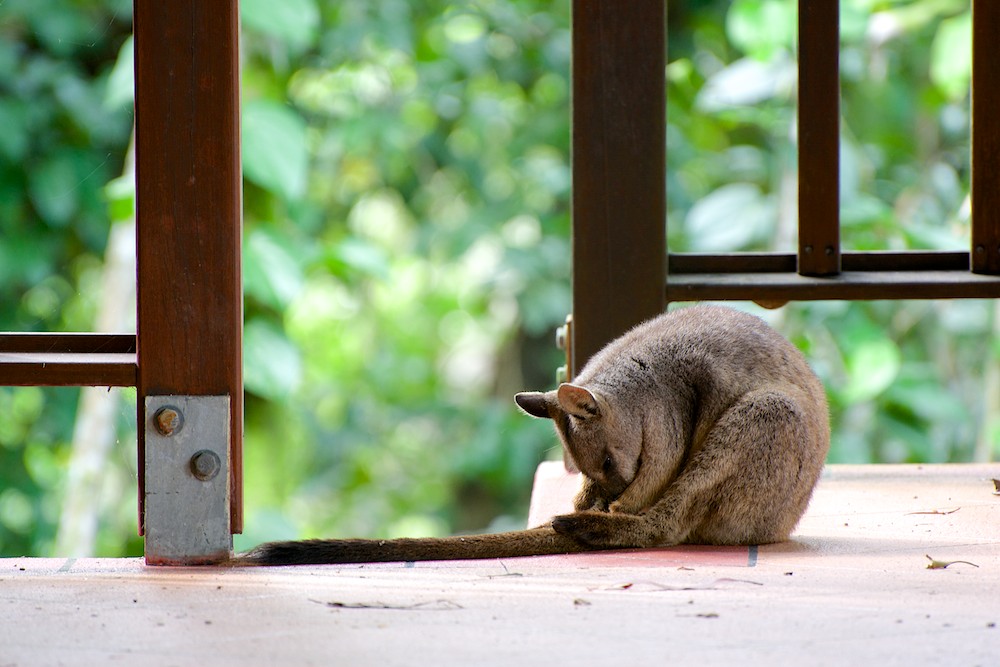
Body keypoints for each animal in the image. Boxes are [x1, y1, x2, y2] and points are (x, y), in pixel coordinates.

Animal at [234, 305, 829, 565]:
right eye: (593, 469)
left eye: (607, 462)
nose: (609, 495)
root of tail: (784, 523)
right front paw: (592, 504)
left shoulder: (666, 425)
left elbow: (659, 471)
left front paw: (611, 510)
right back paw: (584, 520)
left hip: (768, 422)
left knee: (668, 525)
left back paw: (591, 526)